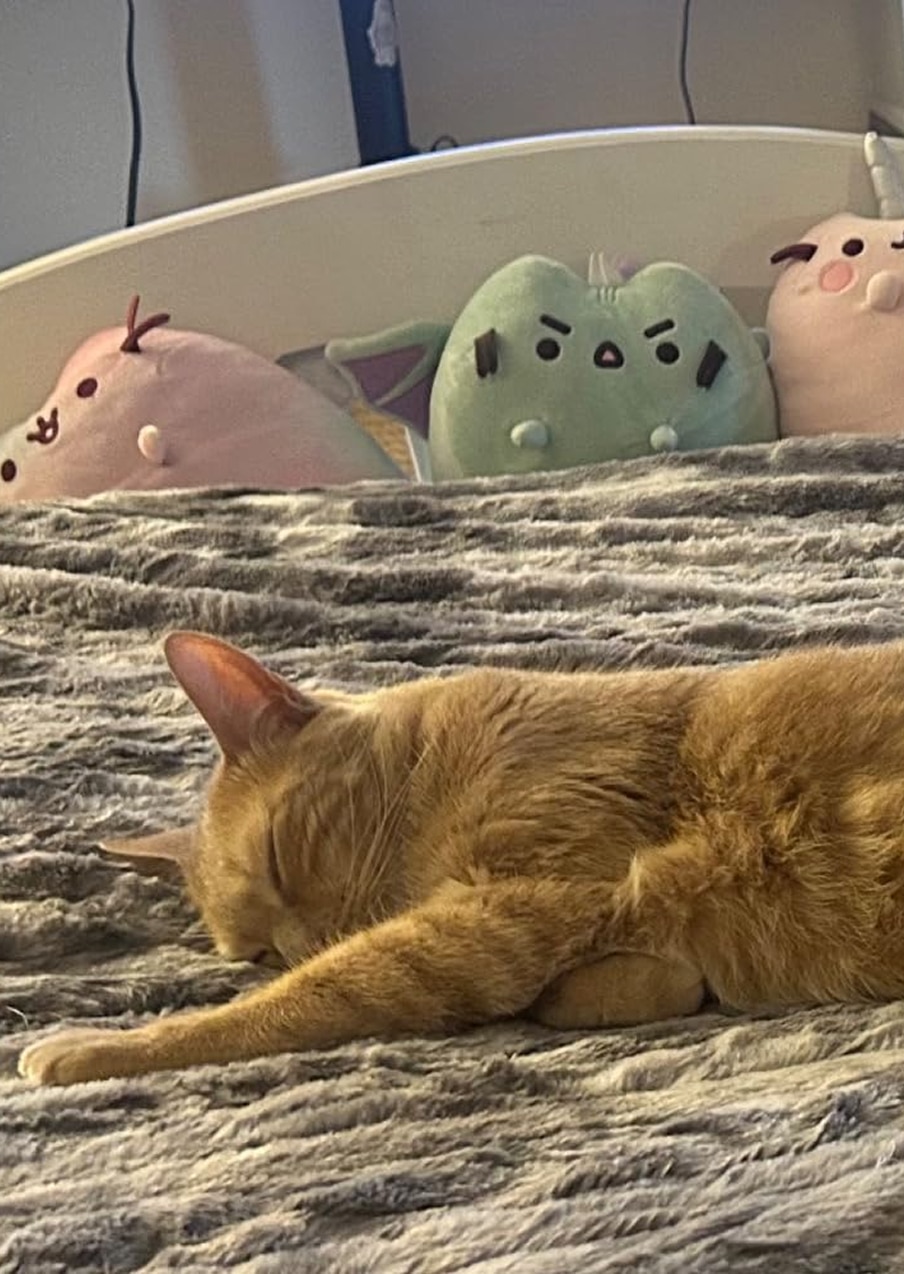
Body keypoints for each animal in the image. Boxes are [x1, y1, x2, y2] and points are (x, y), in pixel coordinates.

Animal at [18, 630, 904, 1086]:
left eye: (279, 854)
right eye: (257, 951)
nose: (298, 945)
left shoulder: (514, 901)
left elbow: (308, 998)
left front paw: (96, 1049)